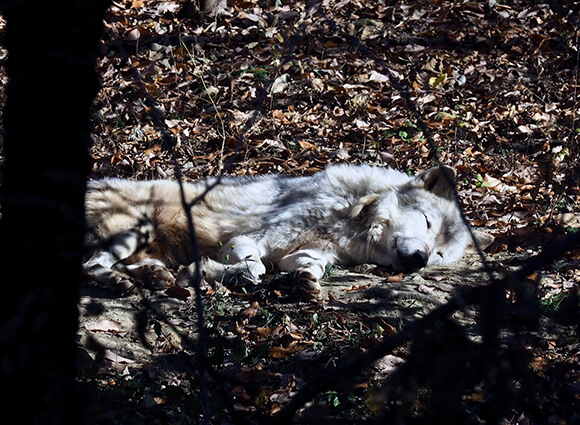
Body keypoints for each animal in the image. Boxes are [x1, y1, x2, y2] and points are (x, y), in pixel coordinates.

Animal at [84, 165, 494, 294]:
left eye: (440, 255)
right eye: (426, 222)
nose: (420, 259)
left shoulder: (311, 253)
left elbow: (312, 266)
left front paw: (308, 282)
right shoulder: (251, 239)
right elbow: (254, 267)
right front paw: (213, 273)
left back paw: (153, 277)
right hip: (132, 229)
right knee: (91, 267)